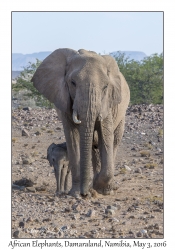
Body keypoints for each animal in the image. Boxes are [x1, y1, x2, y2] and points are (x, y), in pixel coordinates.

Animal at [31, 48, 130, 196]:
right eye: (73, 82)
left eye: (105, 86)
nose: (85, 194)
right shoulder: (64, 100)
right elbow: (73, 138)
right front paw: (77, 193)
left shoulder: (107, 103)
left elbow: (105, 137)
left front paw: (101, 189)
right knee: (94, 147)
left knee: (113, 142)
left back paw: (107, 187)